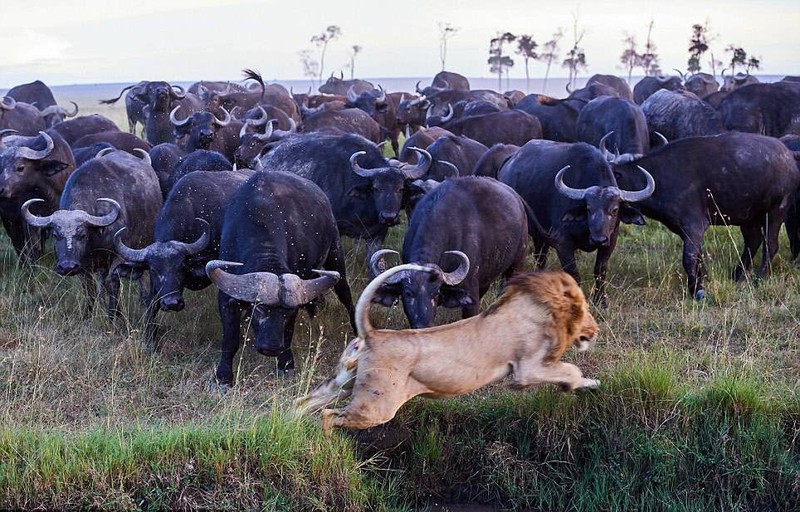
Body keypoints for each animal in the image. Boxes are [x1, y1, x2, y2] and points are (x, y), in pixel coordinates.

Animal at [296, 264, 600, 432]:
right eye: (586, 310)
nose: (595, 330)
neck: (541, 305)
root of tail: (372, 334)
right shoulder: (527, 369)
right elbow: (570, 370)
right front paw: (588, 384)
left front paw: (590, 386)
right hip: (377, 406)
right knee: (328, 415)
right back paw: (328, 445)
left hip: (343, 383)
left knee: (304, 402)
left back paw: (292, 425)